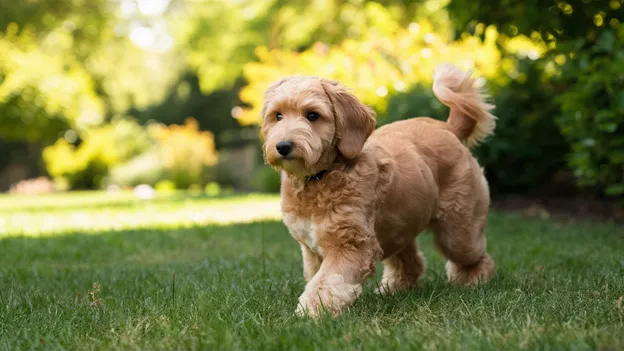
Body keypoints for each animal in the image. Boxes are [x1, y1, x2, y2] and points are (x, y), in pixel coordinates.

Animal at [260, 63, 494, 320]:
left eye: (312, 115)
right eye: (277, 115)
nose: (283, 146)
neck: (321, 178)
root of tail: (446, 127)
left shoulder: (352, 245)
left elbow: (327, 281)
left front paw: (312, 310)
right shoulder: (312, 250)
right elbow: (316, 277)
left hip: (457, 231)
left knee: (475, 255)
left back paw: (474, 279)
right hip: (398, 227)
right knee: (410, 261)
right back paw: (396, 287)